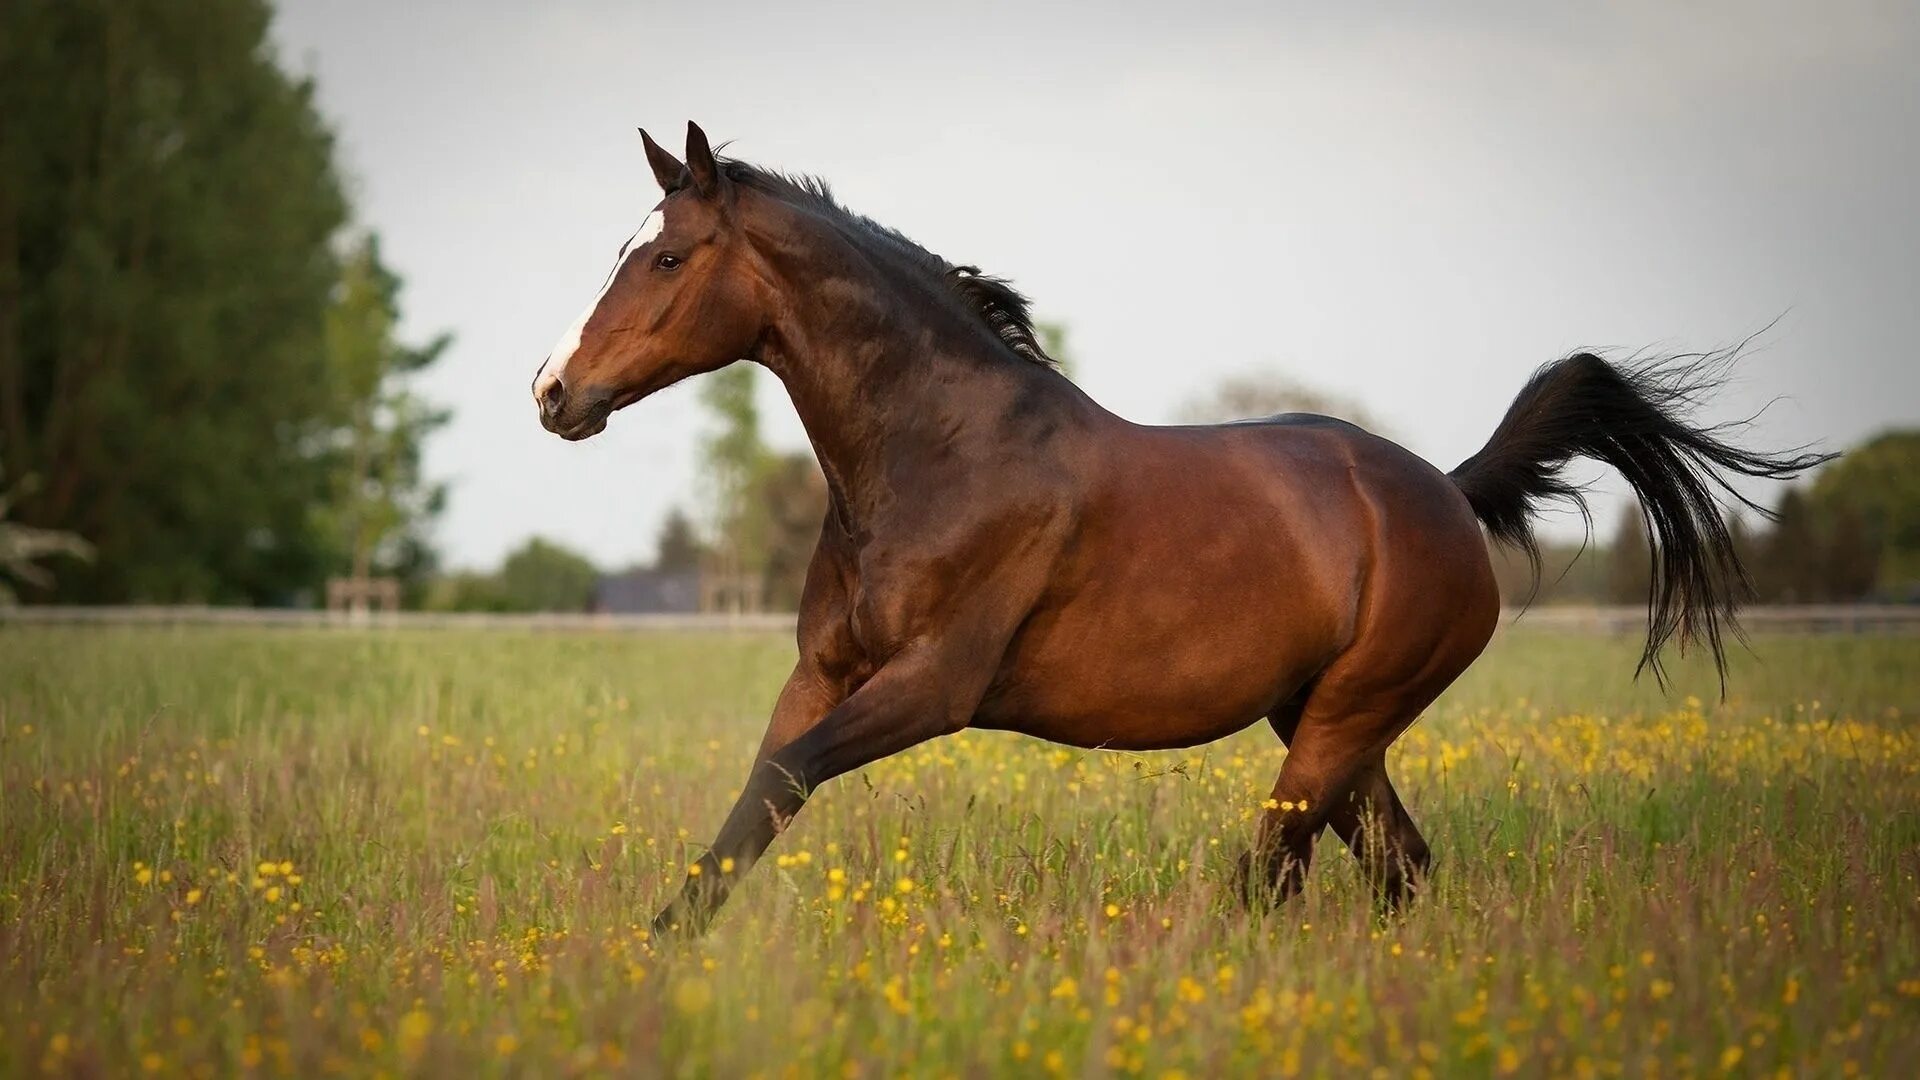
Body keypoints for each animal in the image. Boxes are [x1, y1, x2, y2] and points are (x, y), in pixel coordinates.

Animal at [529, 122, 1827, 933]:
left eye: (667, 256)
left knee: (1277, 878)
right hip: (1327, 723)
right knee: (1396, 870)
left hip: (1339, 723)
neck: (939, 457)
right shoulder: (825, 672)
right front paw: (658, 948)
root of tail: (1448, 495)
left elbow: (789, 776)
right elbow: (759, 799)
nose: (552, 393)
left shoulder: (934, 686)